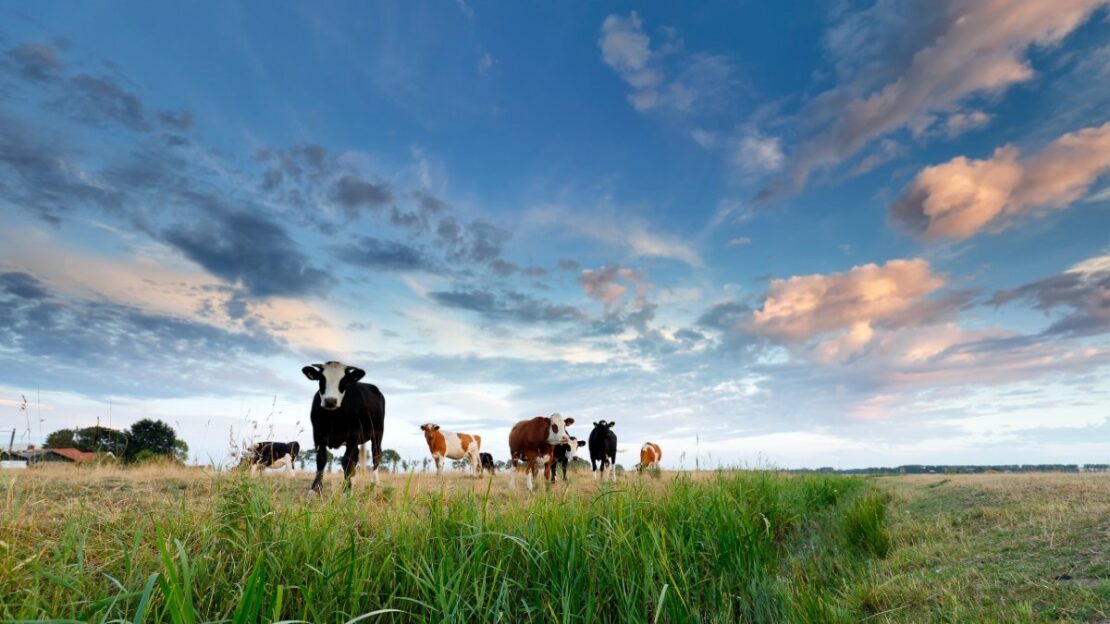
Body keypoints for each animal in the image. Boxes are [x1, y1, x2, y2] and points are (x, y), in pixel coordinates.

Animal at [304, 359, 386, 490]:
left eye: (344, 381)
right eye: (321, 379)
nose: (330, 401)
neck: (333, 418)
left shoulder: (354, 435)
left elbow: (347, 462)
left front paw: (347, 490)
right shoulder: (317, 434)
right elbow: (321, 459)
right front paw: (314, 489)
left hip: (377, 433)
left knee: (376, 454)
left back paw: (374, 482)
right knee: (356, 457)